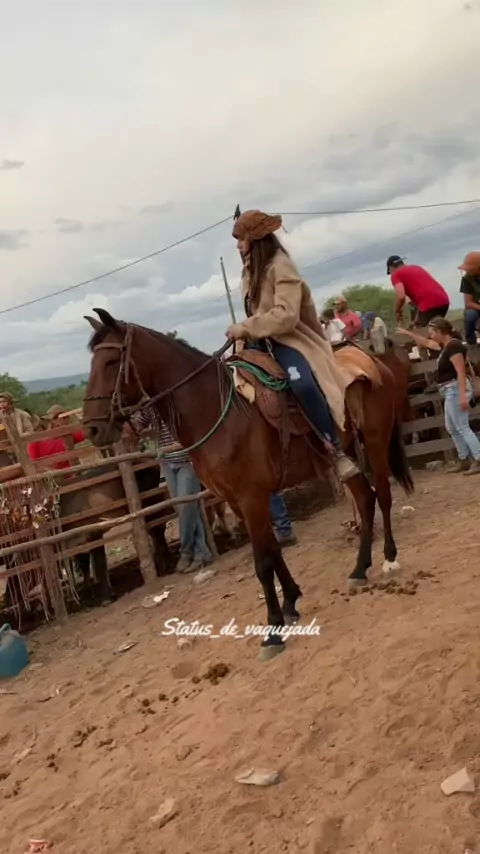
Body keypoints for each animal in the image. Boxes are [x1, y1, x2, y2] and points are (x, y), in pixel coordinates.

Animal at [82, 309, 413, 661]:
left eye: (111, 362)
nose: (91, 429)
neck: (214, 409)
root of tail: (374, 360)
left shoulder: (252, 498)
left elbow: (262, 562)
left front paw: (273, 631)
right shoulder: (239, 502)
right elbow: (273, 550)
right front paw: (290, 602)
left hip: (376, 441)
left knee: (384, 495)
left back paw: (389, 558)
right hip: (349, 452)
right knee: (365, 500)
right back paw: (359, 570)